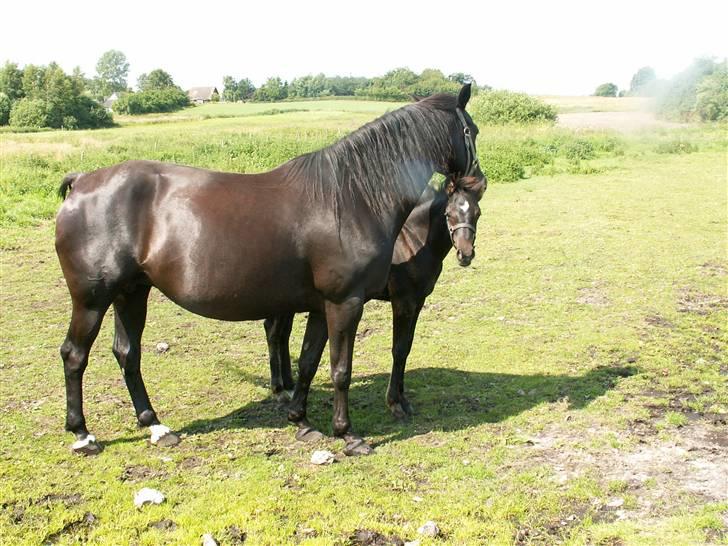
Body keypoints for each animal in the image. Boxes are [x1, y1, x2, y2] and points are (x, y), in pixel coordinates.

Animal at [264, 174, 486, 434]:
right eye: (448, 214)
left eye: (477, 213)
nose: (466, 254)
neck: (413, 243)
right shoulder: (403, 301)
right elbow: (398, 349)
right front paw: (395, 404)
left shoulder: (418, 301)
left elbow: (406, 347)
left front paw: (404, 401)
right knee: (274, 333)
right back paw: (280, 391)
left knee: (281, 334)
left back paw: (288, 386)